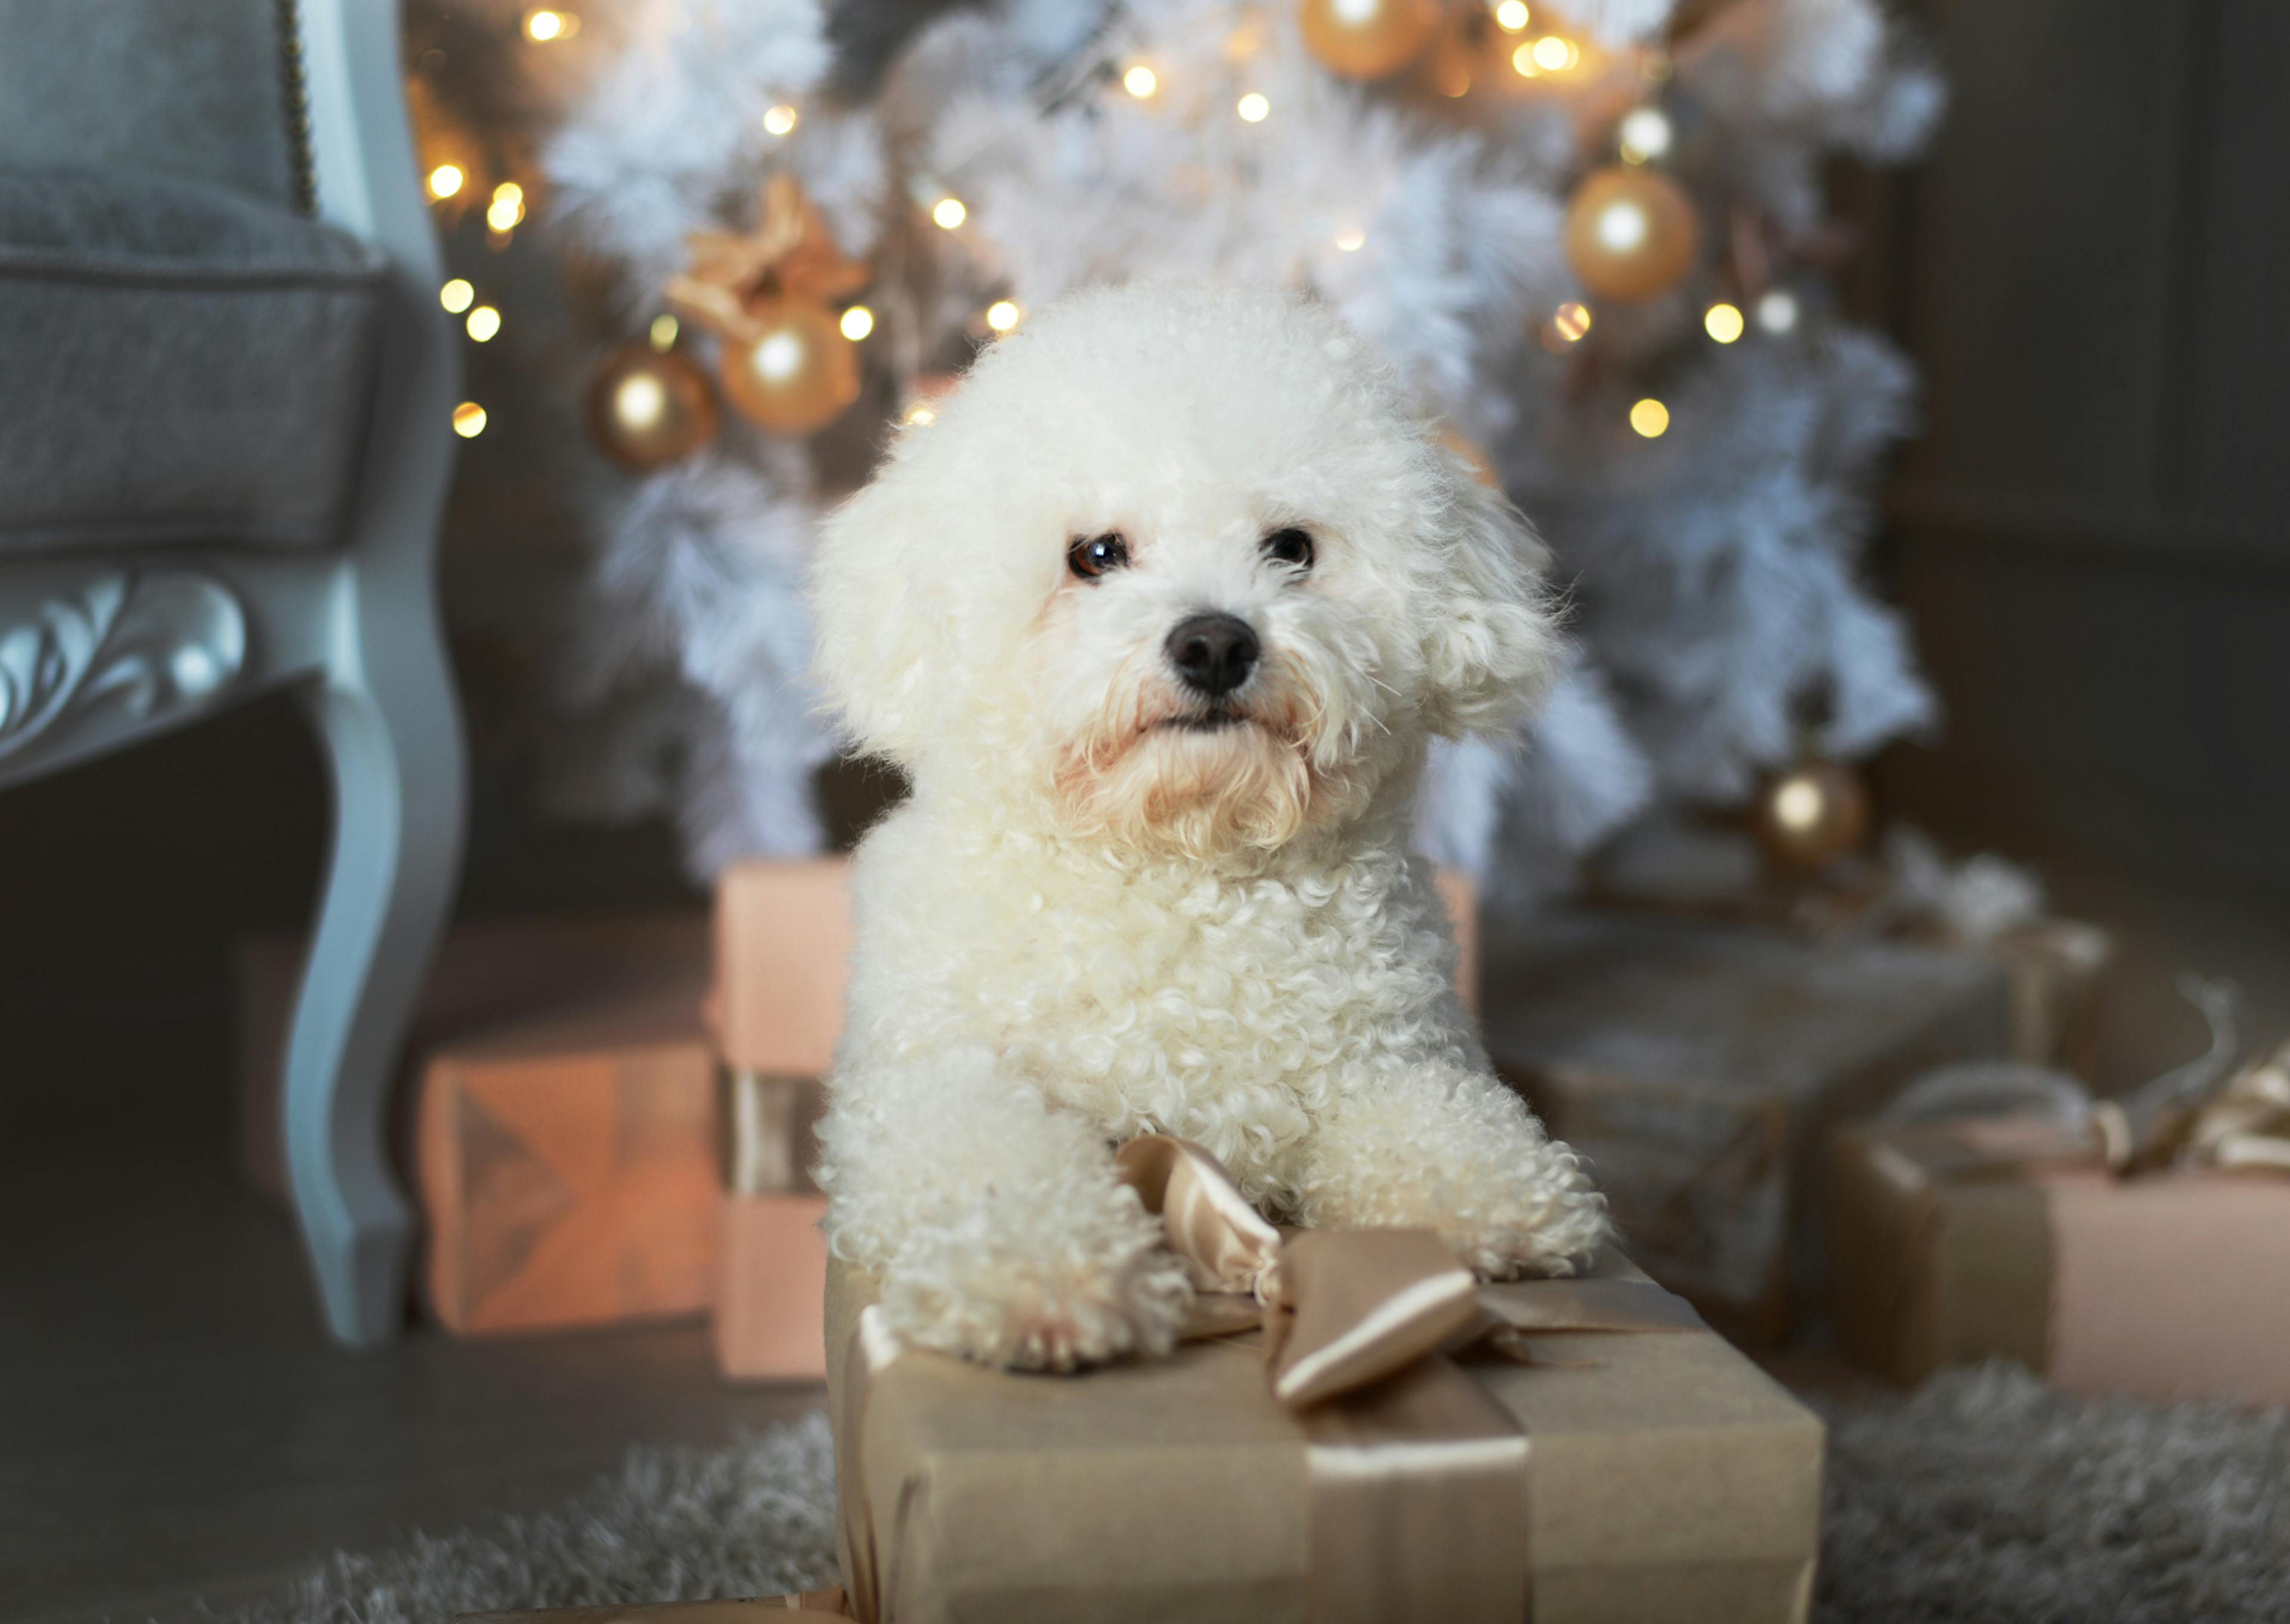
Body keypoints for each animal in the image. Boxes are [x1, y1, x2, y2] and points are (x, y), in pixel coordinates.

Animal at [806, 281, 1612, 1365]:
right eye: (1097, 554)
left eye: (1292, 548)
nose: (1216, 642)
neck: (1184, 870)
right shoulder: (924, 1081)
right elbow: (990, 1154)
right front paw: (1043, 1270)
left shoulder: (1394, 1055)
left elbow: (1432, 1118)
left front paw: (1488, 1193)